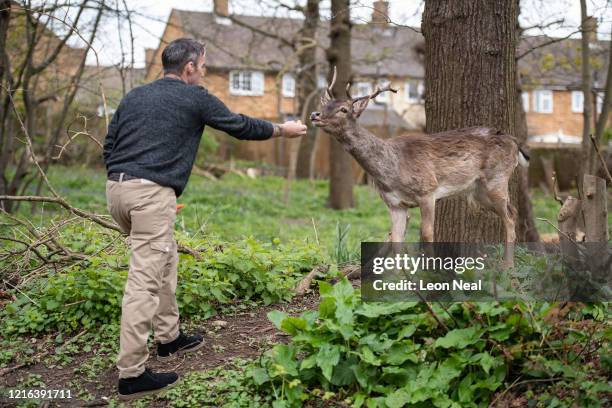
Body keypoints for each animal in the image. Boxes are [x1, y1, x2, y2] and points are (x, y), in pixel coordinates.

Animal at [314, 68, 528, 270]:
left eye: (343, 109)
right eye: (324, 105)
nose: (315, 115)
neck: (391, 171)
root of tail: (514, 141)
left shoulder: (428, 191)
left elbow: (427, 234)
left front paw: (430, 273)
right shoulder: (394, 204)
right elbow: (396, 240)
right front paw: (400, 278)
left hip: (497, 178)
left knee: (510, 216)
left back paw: (508, 265)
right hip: (478, 191)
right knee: (513, 212)